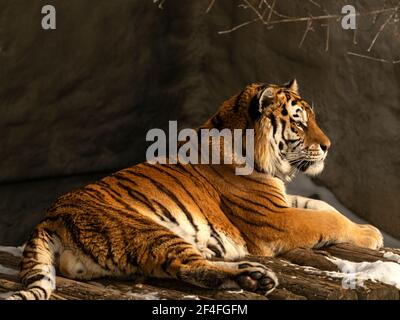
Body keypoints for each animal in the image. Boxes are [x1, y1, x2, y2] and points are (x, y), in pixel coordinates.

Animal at [5, 79, 382, 300]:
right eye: (300, 121)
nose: (329, 146)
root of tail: (49, 219)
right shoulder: (274, 220)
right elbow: (328, 221)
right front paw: (372, 236)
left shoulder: (281, 201)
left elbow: (323, 208)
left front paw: (369, 229)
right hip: (148, 231)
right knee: (187, 267)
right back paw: (256, 278)